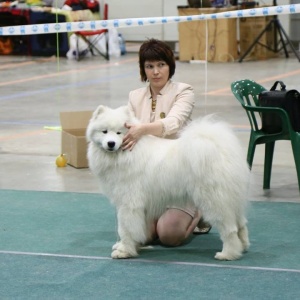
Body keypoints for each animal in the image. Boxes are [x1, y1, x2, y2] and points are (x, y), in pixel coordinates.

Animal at [86, 105, 251, 260]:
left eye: (119, 133)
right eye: (104, 132)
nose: (111, 143)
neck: (126, 154)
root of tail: (222, 149)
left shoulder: (129, 204)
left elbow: (126, 229)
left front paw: (124, 251)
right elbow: (134, 229)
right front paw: (130, 245)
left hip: (214, 200)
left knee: (230, 229)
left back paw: (228, 254)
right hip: (231, 200)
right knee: (241, 224)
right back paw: (242, 247)